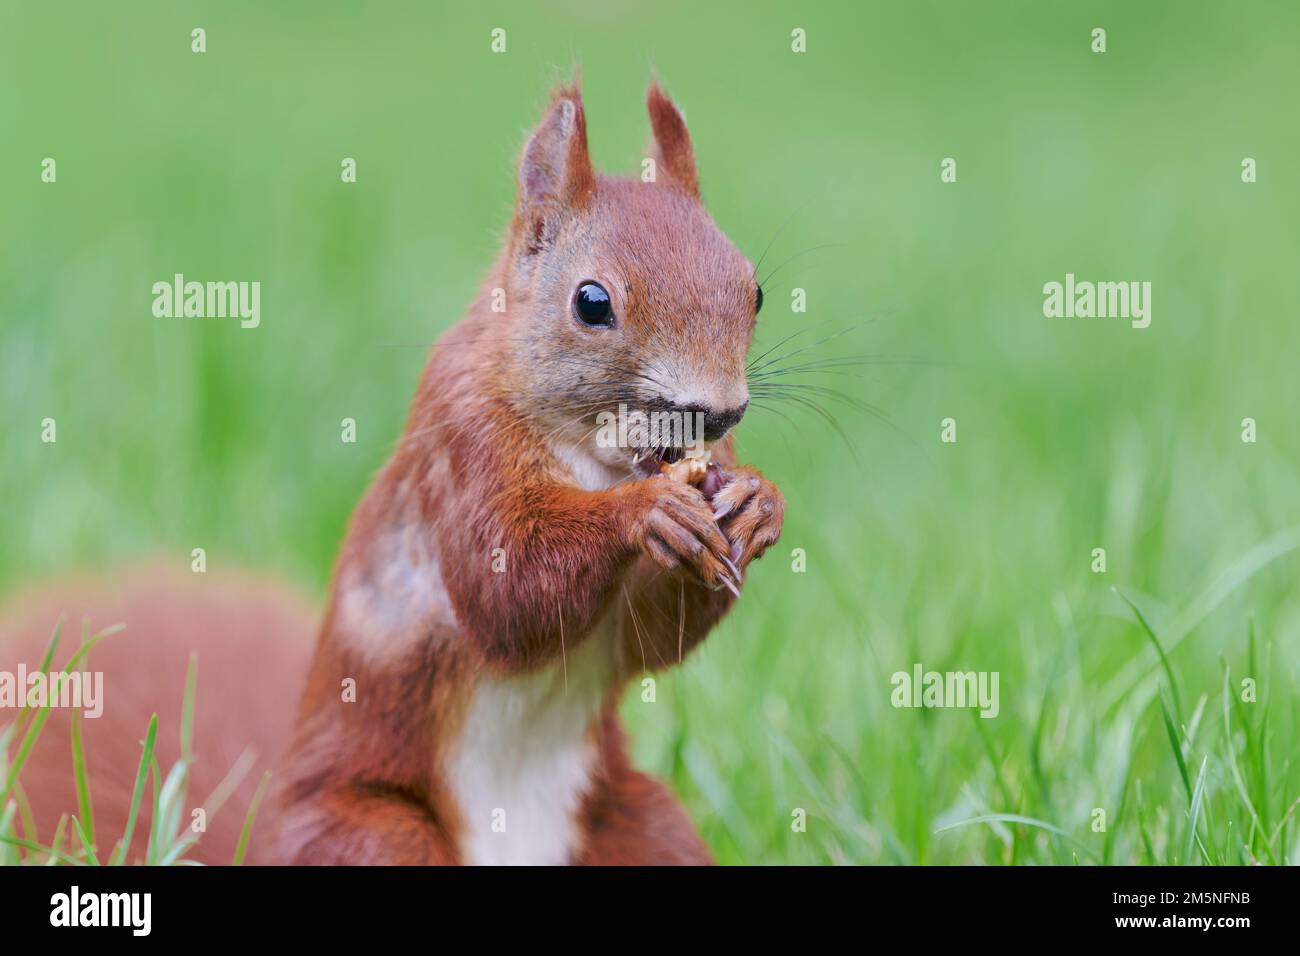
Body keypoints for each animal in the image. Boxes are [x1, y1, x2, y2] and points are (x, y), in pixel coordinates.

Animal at [0, 80, 784, 866]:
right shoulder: (460, 439)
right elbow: (505, 587)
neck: (596, 458)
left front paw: (759, 503)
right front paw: (645, 512)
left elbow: (650, 636)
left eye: (754, 290)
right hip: (374, 836)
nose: (717, 412)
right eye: (592, 303)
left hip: (645, 827)